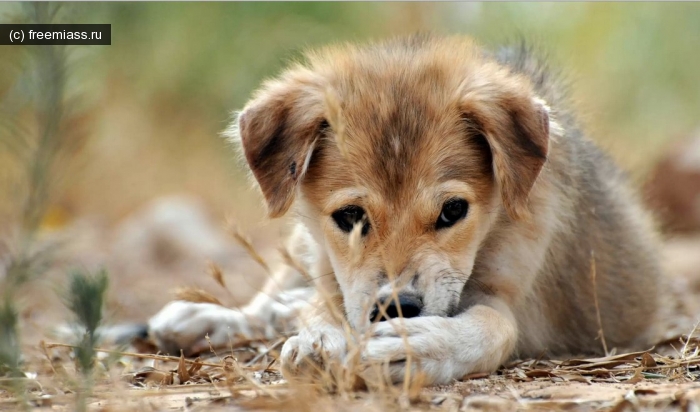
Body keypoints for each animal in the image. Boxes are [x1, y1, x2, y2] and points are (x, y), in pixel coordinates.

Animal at [146, 35, 668, 386]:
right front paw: (319, 340)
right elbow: (322, 306)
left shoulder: (510, 295)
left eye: (453, 210)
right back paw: (206, 317)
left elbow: (491, 327)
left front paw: (412, 347)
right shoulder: (332, 265)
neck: (492, 230)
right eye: (350, 217)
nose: (396, 308)